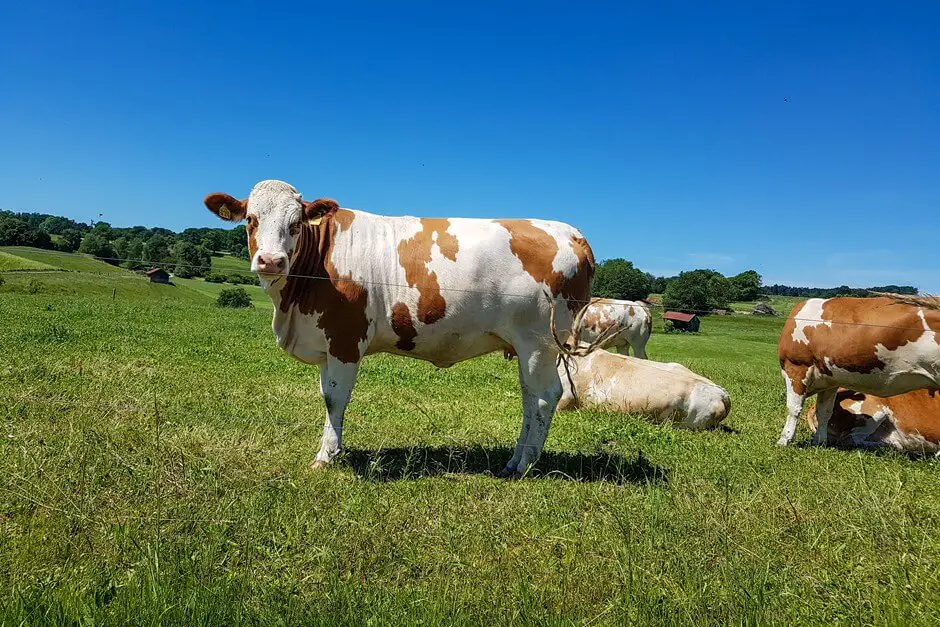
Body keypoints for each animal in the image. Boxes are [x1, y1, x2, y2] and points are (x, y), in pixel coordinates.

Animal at [206, 180, 596, 476]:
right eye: (251, 219)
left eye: (295, 223)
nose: (271, 261)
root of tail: (571, 232)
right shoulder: (325, 344)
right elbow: (326, 397)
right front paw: (334, 450)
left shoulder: (346, 340)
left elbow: (336, 399)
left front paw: (326, 457)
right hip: (529, 348)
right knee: (530, 398)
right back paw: (515, 459)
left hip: (539, 342)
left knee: (545, 397)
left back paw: (523, 465)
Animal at [780, 296, 940, 446]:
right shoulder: (829, 381)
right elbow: (824, 412)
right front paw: (820, 442)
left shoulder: (795, 367)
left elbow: (793, 408)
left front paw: (784, 440)